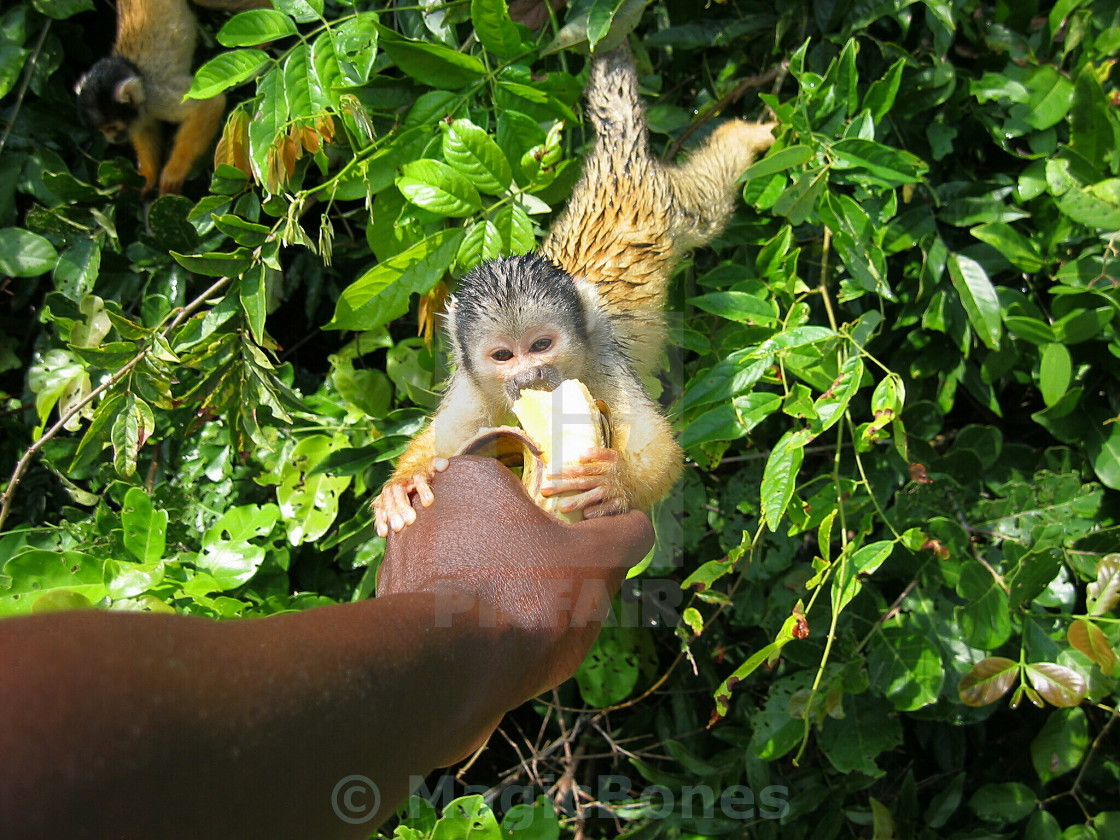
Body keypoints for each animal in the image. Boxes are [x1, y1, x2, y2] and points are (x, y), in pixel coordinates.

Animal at [76, 0, 268, 196]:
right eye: (103, 130)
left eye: (112, 127)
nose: (111, 139)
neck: (137, 76)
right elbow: (146, 130)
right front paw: (147, 176)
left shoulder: (156, 96)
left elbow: (208, 104)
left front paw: (174, 172)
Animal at [371, 45, 775, 535]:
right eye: (504, 356)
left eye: (542, 345)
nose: (531, 377)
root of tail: (616, 171)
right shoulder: (471, 383)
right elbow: (444, 439)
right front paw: (405, 484)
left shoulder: (600, 357)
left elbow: (655, 444)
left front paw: (614, 484)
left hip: (671, 205)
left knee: (709, 205)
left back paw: (744, 136)